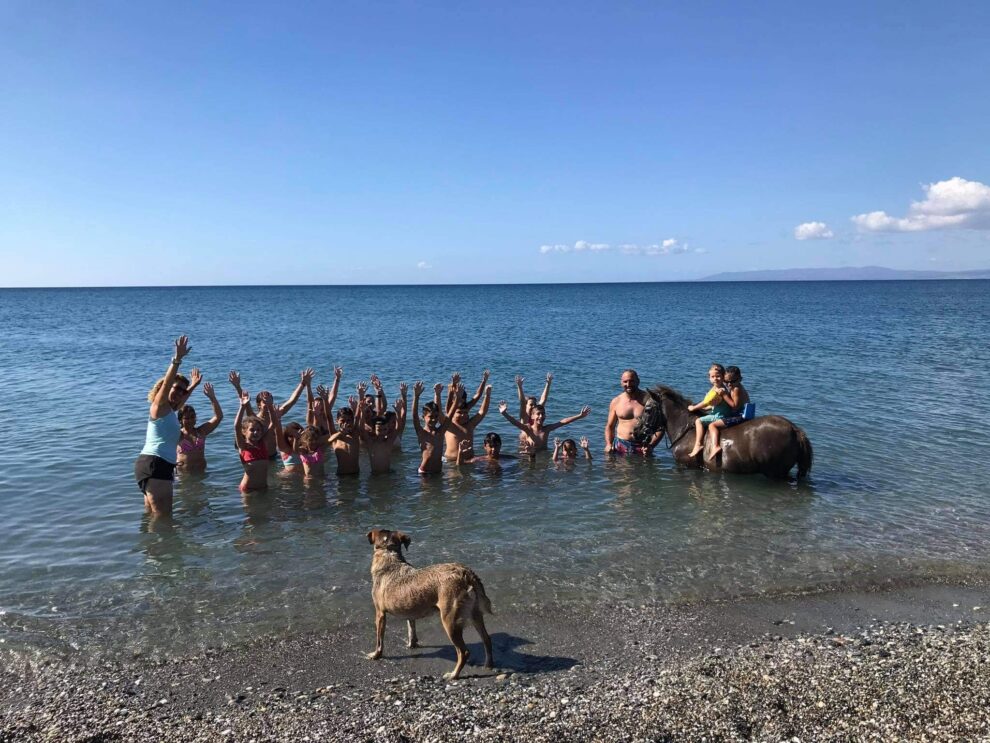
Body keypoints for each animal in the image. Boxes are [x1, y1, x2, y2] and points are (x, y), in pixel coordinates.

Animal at [366, 528, 494, 676]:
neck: (388, 553)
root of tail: (466, 573)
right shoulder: (410, 612)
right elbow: (411, 629)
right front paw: (412, 645)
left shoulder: (380, 613)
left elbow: (379, 640)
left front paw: (376, 655)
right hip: (475, 615)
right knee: (487, 639)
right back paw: (488, 664)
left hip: (449, 619)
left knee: (464, 652)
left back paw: (453, 675)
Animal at [652, 386, 812, 480]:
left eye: (648, 409)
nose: (643, 430)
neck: (686, 429)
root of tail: (795, 430)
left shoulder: (685, 465)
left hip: (776, 473)